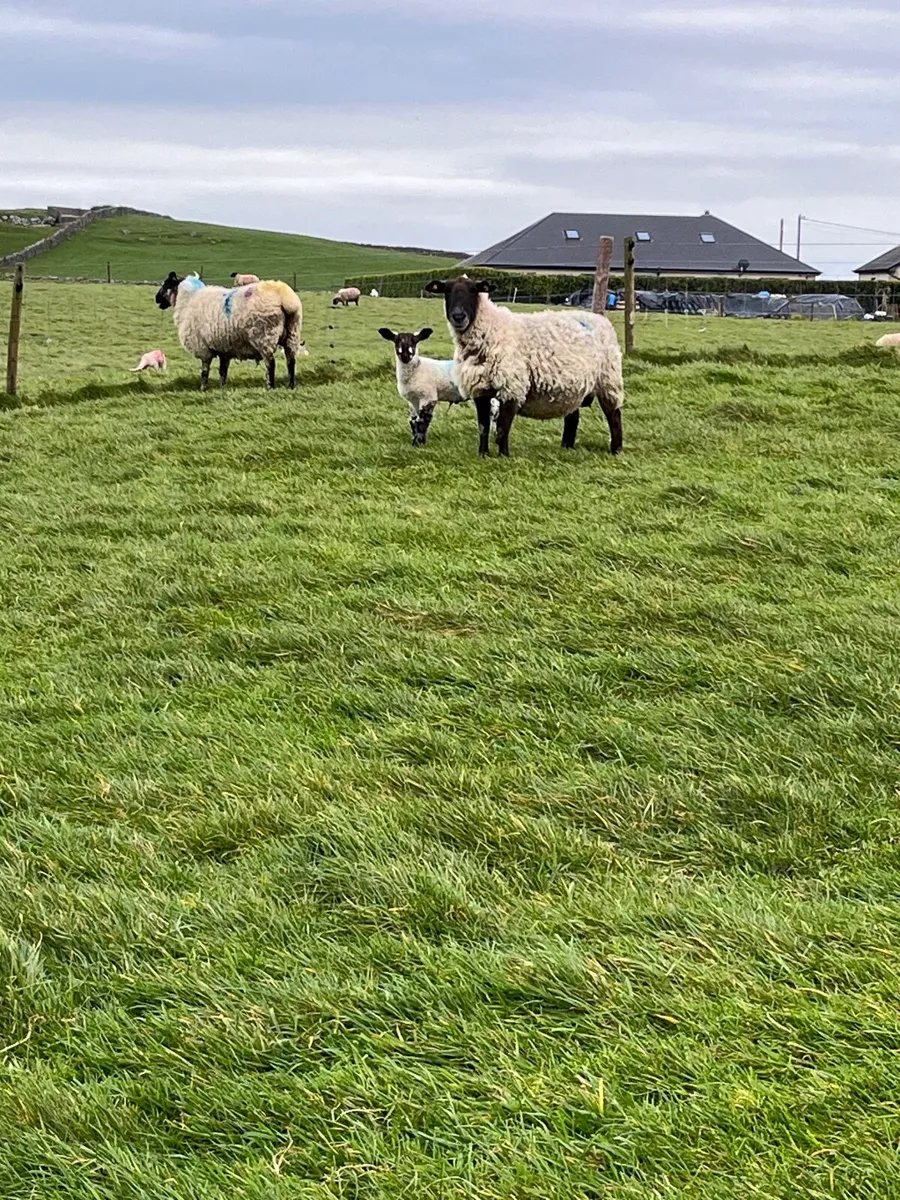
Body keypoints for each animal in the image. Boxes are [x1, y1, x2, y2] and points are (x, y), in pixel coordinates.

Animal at [154, 271, 307, 391]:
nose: (156, 299)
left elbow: (205, 371)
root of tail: (285, 298)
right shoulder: (224, 348)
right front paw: (223, 388)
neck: (188, 300)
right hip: (293, 333)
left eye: (166, 285)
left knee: (271, 363)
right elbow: (223, 371)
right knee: (291, 361)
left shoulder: (203, 348)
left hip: (264, 335)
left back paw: (270, 386)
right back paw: (290, 385)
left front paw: (203, 388)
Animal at [425, 277, 624, 458]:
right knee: (572, 418)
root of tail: (599, 318)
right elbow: (483, 427)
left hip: (609, 379)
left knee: (614, 415)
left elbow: (503, 428)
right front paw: (483, 454)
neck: (491, 329)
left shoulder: (511, 386)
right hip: (573, 386)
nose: (458, 317)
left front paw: (503, 456)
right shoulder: (480, 389)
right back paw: (567, 447)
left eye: (474, 290)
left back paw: (616, 450)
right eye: (446, 291)